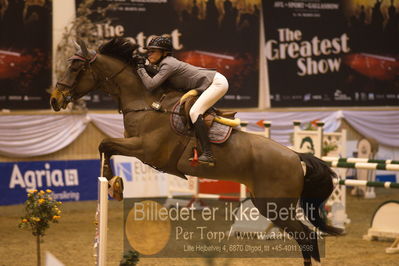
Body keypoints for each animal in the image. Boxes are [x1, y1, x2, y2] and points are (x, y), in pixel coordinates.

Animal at [50, 38, 344, 266]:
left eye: (75, 66)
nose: (55, 99)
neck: (146, 102)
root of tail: (295, 157)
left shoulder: (144, 149)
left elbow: (104, 144)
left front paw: (115, 184)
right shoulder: (135, 145)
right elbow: (106, 147)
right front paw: (115, 184)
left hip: (275, 205)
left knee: (306, 236)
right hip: (269, 203)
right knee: (305, 237)